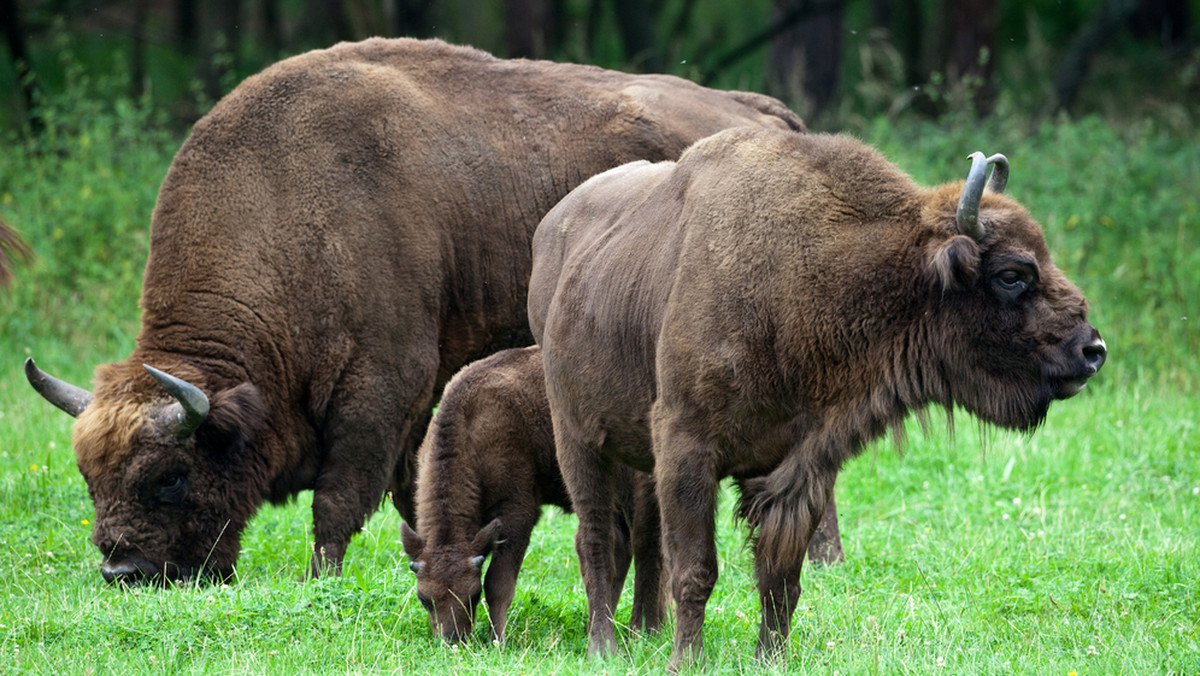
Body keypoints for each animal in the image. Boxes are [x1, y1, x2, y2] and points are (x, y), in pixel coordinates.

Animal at [21, 38, 806, 588]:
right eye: (89, 477)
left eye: (170, 476)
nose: (123, 571)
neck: (290, 206)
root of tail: (764, 113)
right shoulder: (417, 406)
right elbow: (410, 488)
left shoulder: (381, 388)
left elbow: (339, 500)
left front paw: (321, 582)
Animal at [530, 128, 1108, 667]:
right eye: (1012, 274)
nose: (1092, 349)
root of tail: (551, 230)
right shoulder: (686, 448)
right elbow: (697, 569)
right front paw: (685, 662)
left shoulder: (800, 466)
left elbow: (780, 577)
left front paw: (769, 658)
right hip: (576, 438)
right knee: (596, 539)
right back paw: (602, 647)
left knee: (640, 537)